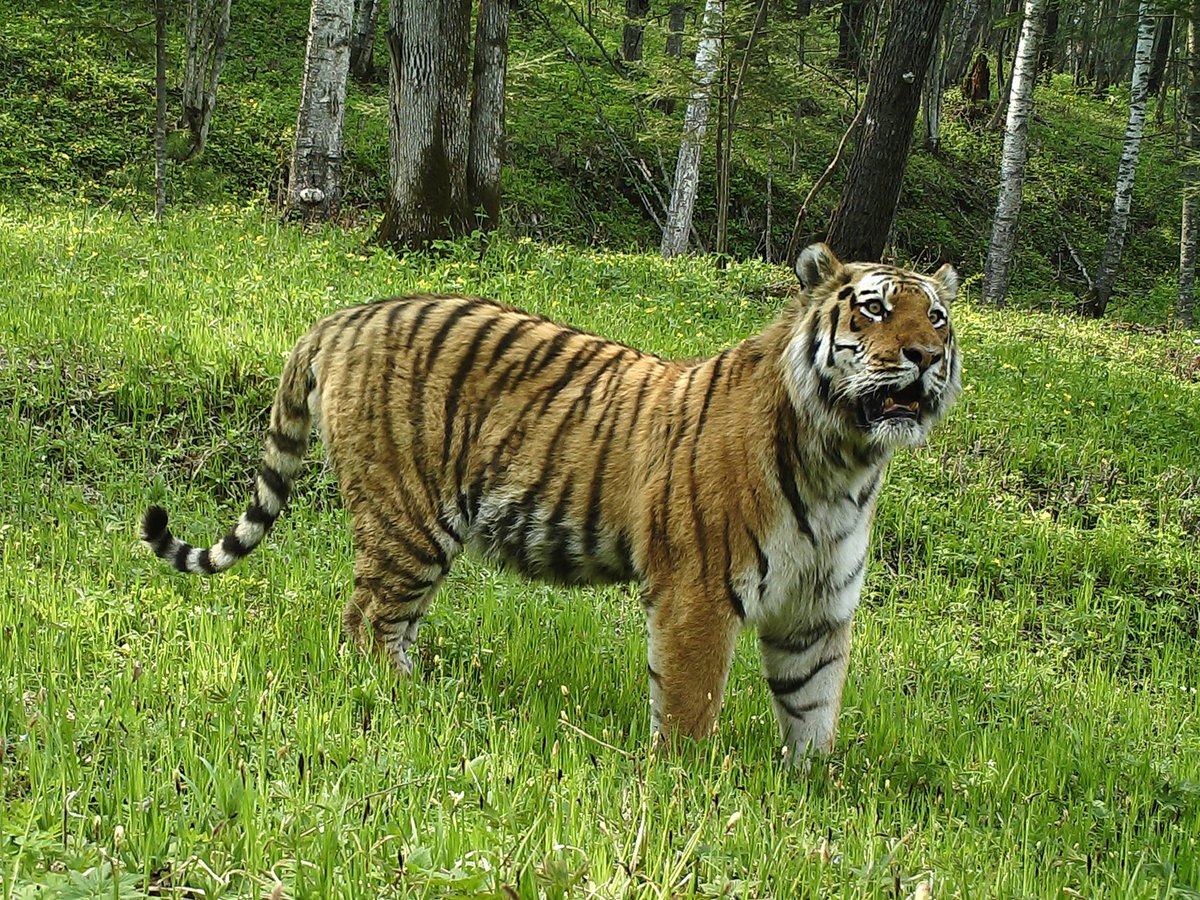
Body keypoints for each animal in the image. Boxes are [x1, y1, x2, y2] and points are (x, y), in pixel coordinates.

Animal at [141, 242, 960, 765]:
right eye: (874, 309)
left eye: (938, 317)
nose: (924, 357)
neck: (845, 462)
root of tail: (345, 316)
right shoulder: (699, 593)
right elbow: (691, 704)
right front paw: (687, 784)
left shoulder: (817, 608)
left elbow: (812, 706)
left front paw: (811, 789)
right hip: (409, 523)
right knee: (366, 623)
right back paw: (414, 704)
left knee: (384, 623)